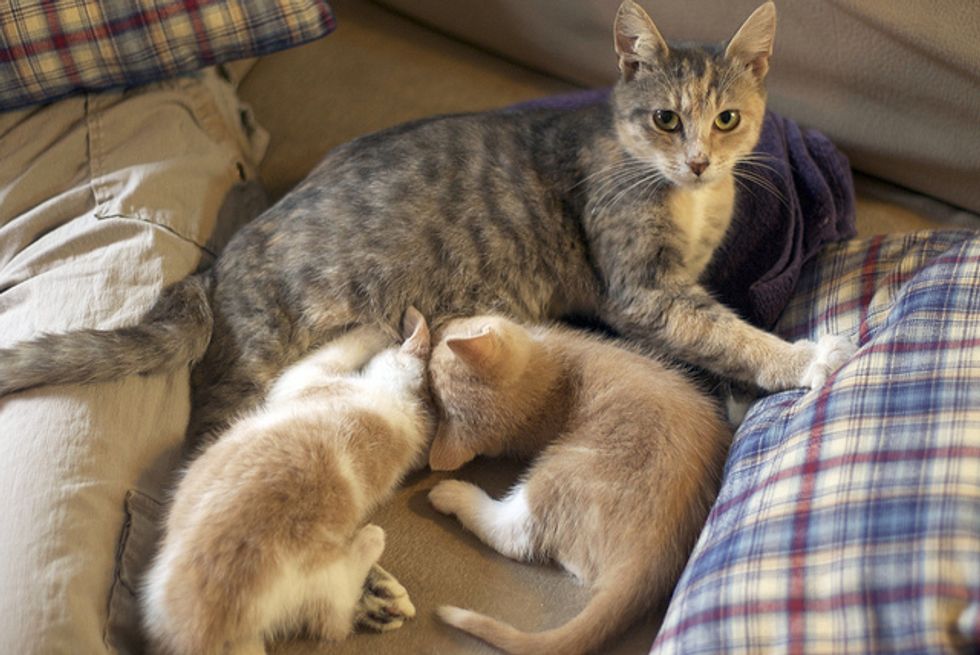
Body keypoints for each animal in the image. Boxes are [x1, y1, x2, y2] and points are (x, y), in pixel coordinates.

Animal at [141, 308, 432, 655]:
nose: (396, 333)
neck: (402, 407)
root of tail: (209, 631)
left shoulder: (306, 378)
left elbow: (336, 352)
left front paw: (370, 331)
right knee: (334, 614)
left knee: (334, 618)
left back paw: (371, 541)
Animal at [424, 313, 732, 655]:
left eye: (447, 335)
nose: (436, 324)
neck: (545, 395)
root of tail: (651, 559)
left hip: (559, 473)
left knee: (514, 536)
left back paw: (452, 494)